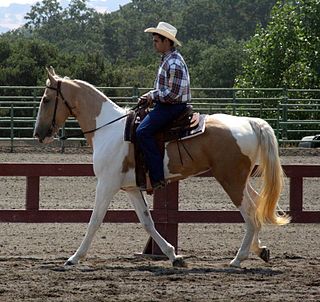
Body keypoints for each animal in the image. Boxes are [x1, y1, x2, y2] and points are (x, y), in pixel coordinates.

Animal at [34, 67, 290, 268]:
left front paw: (74, 258)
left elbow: (94, 220)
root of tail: (250, 122)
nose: (38, 133)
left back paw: (238, 258)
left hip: (230, 180)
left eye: (46, 99)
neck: (107, 128)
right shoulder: (131, 189)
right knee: (256, 205)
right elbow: (147, 222)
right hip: (240, 179)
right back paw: (260, 250)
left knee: (250, 214)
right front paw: (174, 256)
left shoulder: (106, 185)